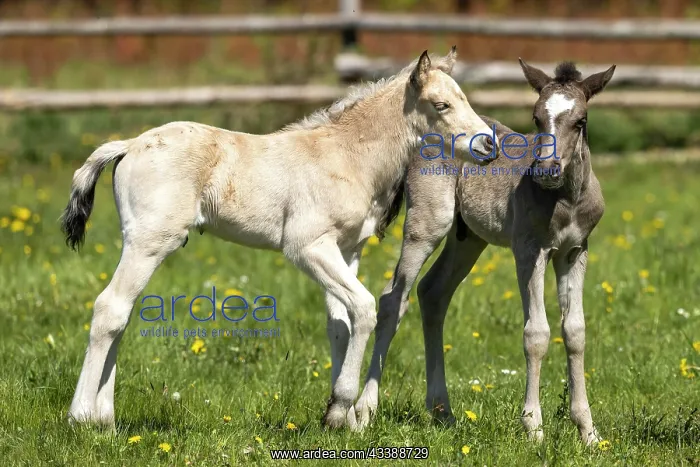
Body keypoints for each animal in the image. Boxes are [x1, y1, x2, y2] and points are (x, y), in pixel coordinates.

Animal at [60, 47, 498, 430]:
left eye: (464, 98)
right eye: (440, 105)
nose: (489, 145)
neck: (348, 156)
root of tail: (130, 144)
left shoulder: (347, 251)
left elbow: (340, 323)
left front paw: (337, 418)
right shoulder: (307, 247)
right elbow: (364, 308)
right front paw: (345, 407)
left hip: (141, 245)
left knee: (123, 313)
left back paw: (106, 418)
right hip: (150, 242)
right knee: (110, 308)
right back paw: (82, 416)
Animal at [355, 59, 615, 445]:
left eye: (580, 121)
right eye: (536, 118)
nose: (547, 170)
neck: (565, 199)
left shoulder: (575, 251)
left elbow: (575, 332)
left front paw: (588, 432)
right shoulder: (529, 251)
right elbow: (536, 333)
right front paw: (533, 427)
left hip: (468, 238)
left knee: (433, 293)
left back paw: (442, 411)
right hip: (428, 223)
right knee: (393, 299)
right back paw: (362, 411)